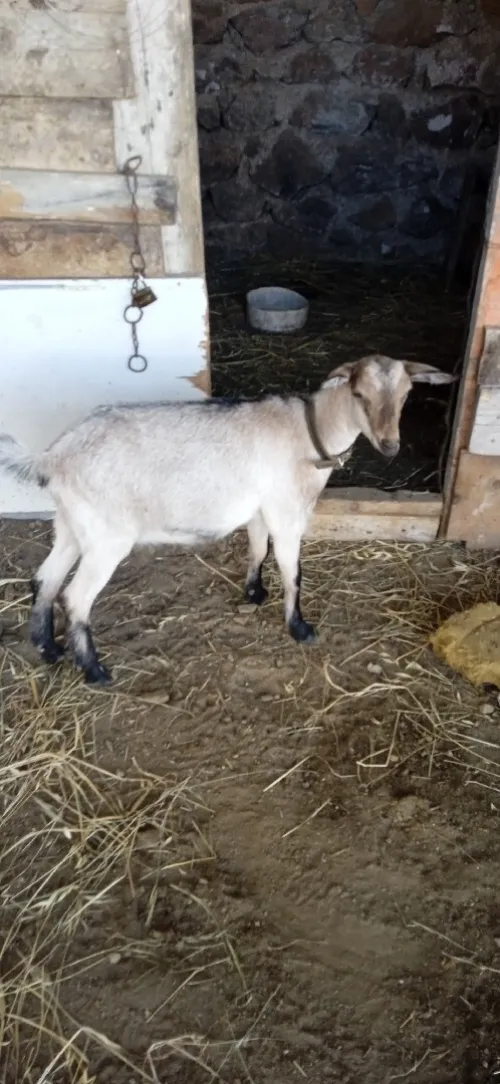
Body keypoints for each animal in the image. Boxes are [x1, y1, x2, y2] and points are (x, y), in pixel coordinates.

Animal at [0, 355, 455, 686]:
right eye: (359, 393)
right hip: (107, 537)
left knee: (45, 579)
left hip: (72, 524)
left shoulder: (258, 508)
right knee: (75, 597)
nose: (390, 445)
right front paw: (299, 627)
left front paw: (254, 592)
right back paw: (94, 671)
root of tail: (54, 456)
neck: (310, 432)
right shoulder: (286, 509)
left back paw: (49, 649)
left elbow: (257, 549)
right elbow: (292, 569)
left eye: (406, 395)